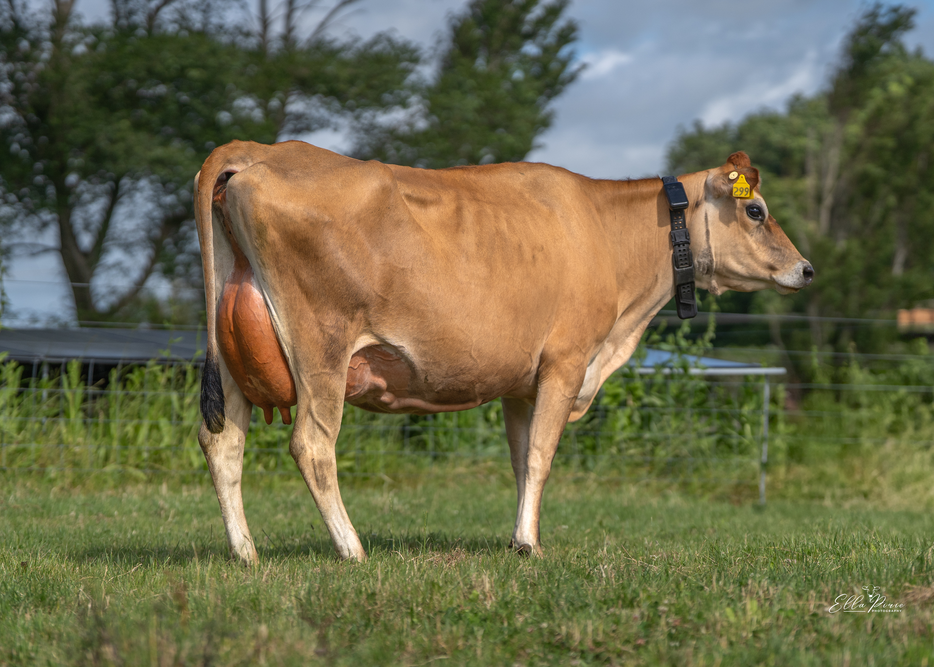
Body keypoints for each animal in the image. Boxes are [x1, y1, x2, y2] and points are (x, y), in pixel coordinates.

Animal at [193, 140, 813, 565]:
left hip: (233, 356)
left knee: (222, 442)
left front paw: (521, 536)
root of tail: (264, 150)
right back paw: (352, 548)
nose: (805, 269)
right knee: (313, 444)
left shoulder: (522, 383)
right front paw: (530, 546)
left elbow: (520, 459)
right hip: (322, 346)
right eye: (755, 211)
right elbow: (541, 455)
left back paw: (245, 552)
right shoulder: (566, 362)